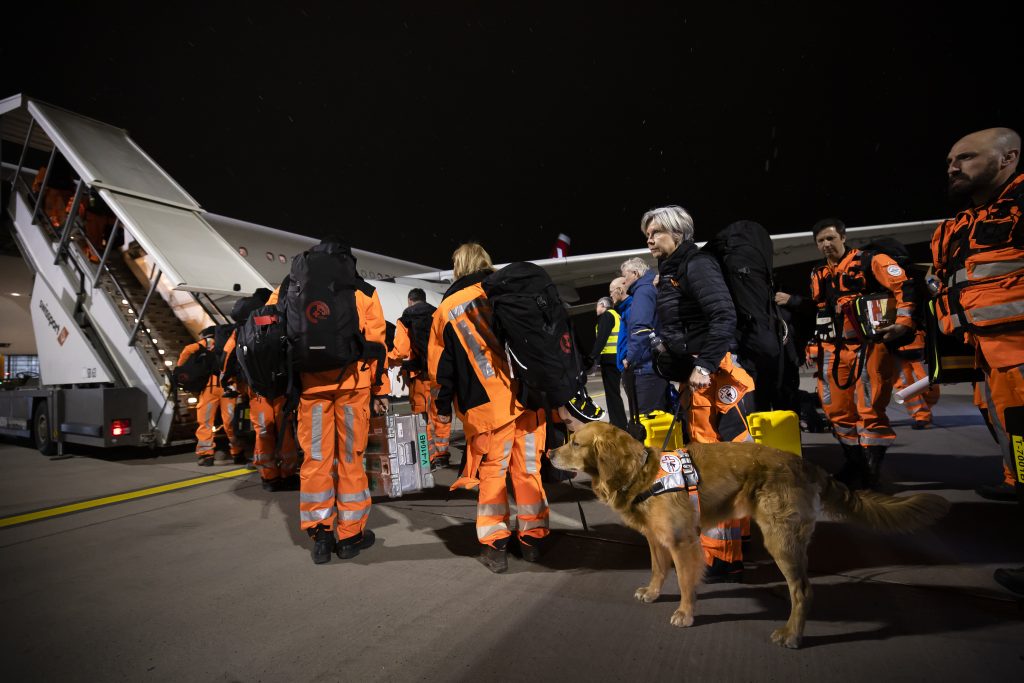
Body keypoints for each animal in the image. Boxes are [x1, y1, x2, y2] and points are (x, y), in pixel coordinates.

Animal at [552, 421, 950, 651]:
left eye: (574, 443)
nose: (549, 452)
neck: (642, 474)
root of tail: (805, 464)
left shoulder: (682, 541)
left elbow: (684, 581)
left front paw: (685, 613)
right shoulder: (656, 538)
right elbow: (658, 570)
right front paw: (652, 593)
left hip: (780, 539)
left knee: (803, 590)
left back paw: (792, 634)